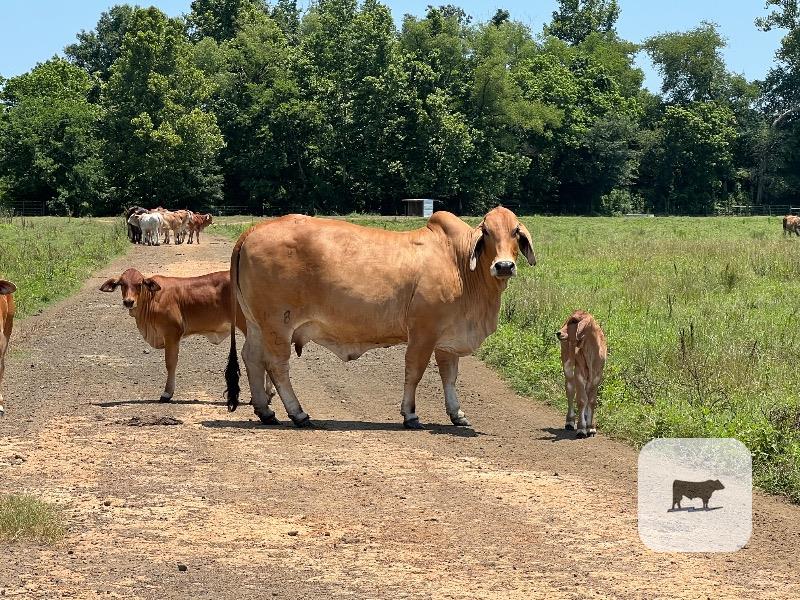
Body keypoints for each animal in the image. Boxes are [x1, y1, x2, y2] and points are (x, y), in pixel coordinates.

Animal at [100, 268, 270, 403]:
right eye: (122, 284)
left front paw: (167, 393)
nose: (128, 301)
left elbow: (170, 363)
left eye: (139, 284)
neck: (152, 299)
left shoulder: (172, 334)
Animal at [224, 206, 536, 428]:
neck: (458, 263)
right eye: (488, 232)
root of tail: (253, 229)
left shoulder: (447, 339)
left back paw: (266, 411)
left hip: (257, 324)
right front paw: (410, 415)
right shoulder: (423, 333)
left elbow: (450, 376)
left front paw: (457, 414)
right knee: (277, 365)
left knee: (252, 357)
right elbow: (414, 372)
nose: (504, 266)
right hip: (278, 324)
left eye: (515, 232)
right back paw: (298, 413)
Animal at [556, 310, 607, 438]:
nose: (558, 333)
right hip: (568, 366)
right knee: (570, 389)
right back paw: (570, 421)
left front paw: (591, 427)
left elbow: (592, 400)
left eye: (574, 320)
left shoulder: (597, 376)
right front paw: (581, 428)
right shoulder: (579, 373)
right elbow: (581, 400)